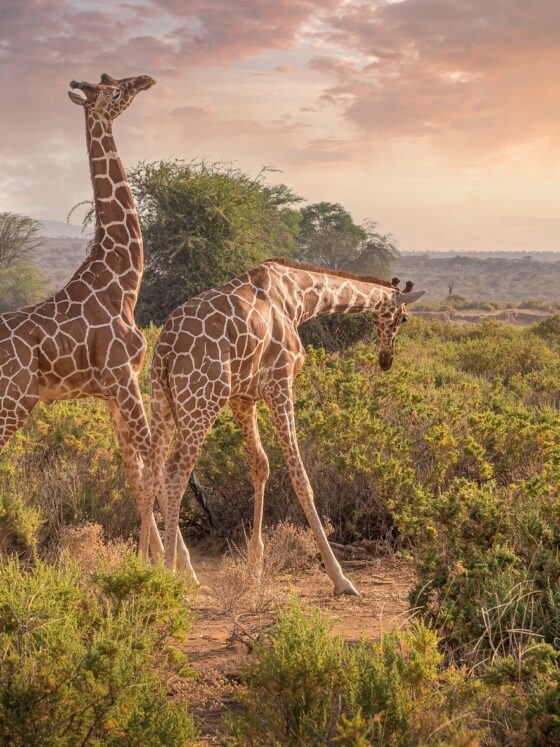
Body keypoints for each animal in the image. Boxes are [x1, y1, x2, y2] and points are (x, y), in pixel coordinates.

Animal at [0, 74, 194, 568]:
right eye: (112, 89)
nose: (145, 79)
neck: (121, 283)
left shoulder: (110, 391)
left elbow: (134, 472)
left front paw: (151, 560)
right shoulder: (123, 378)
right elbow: (153, 465)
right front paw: (178, 569)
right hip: (13, 401)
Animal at [140, 258, 424, 596]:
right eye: (403, 318)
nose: (386, 359)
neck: (298, 297)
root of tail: (165, 347)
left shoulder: (243, 396)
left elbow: (260, 465)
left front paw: (255, 565)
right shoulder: (280, 383)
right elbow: (299, 475)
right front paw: (340, 578)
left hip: (162, 399)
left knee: (151, 471)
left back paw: (141, 565)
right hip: (202, 399)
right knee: (175, 474)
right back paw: (172, 574)